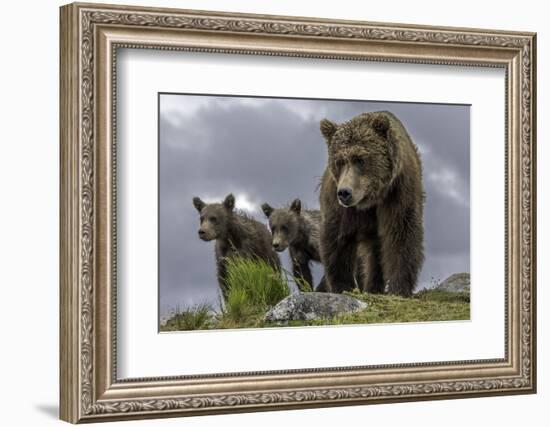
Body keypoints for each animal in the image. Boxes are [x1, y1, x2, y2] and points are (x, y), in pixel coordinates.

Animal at [320, 111, 426, 298]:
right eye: (339, 161)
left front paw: (399, 288)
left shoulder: (398, 193)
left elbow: (402, 235)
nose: (345, 192)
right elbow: (337, 239)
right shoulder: (339, 205)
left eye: (360, 159)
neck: (370, 199)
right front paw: (343, 286)